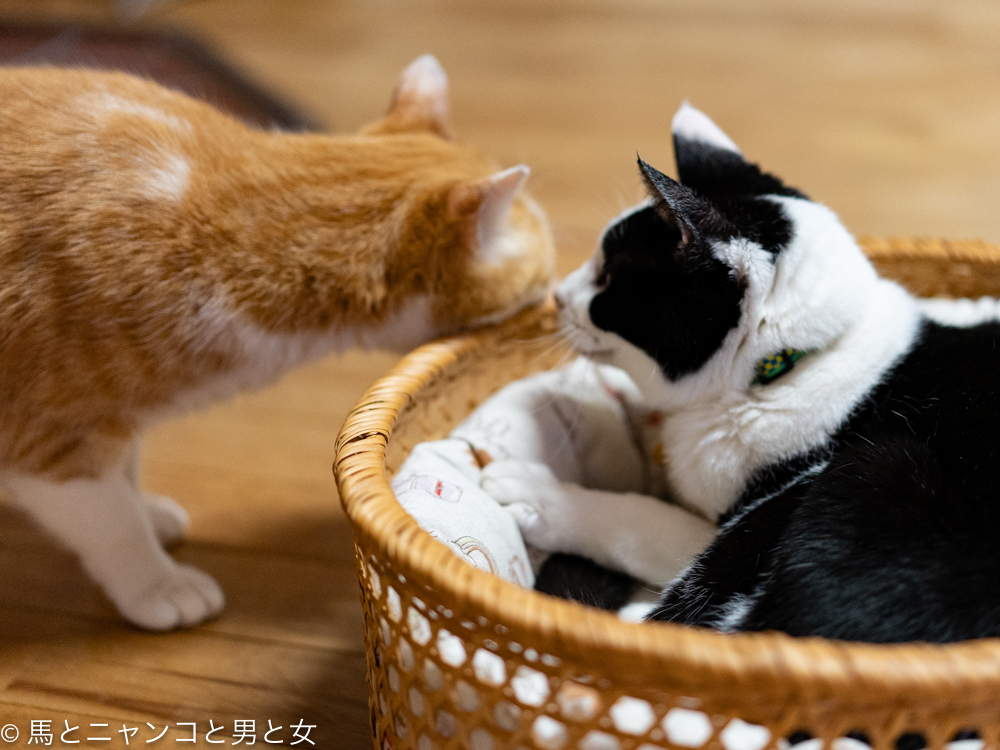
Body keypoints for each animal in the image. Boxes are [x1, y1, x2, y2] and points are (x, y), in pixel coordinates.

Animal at [0, 55, 554, 630]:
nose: (557, 292)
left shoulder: (116, 417)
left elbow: (126, 476)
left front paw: (149, 513)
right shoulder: (51, 442)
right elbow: (112, 522)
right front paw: (156, 582)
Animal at [482, 102, 1000, 643]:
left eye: (609, 280)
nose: (558, 295)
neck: (791, 368)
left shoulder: (724, 521)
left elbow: (645, 524)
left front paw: (538, 493)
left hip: (871, 466)